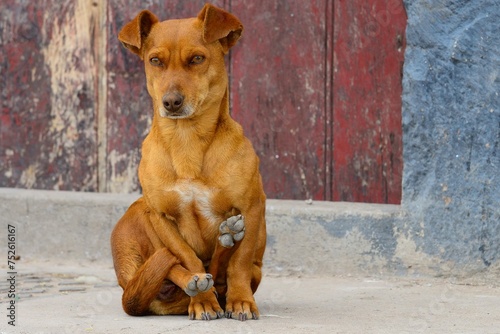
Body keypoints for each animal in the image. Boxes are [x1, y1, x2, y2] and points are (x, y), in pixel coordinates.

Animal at [109, 2, 266, 320]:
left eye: (197, 59)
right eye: (155, 60)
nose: (171, 102)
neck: (187, 141)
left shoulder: (252, 207)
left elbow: (240, 263)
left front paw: (241, 301)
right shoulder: (159, 216)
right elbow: (187, 258)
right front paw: (203, 300)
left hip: (256, 268)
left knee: (224, 271)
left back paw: (228, 239)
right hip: (137, 215)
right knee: (179, 270)